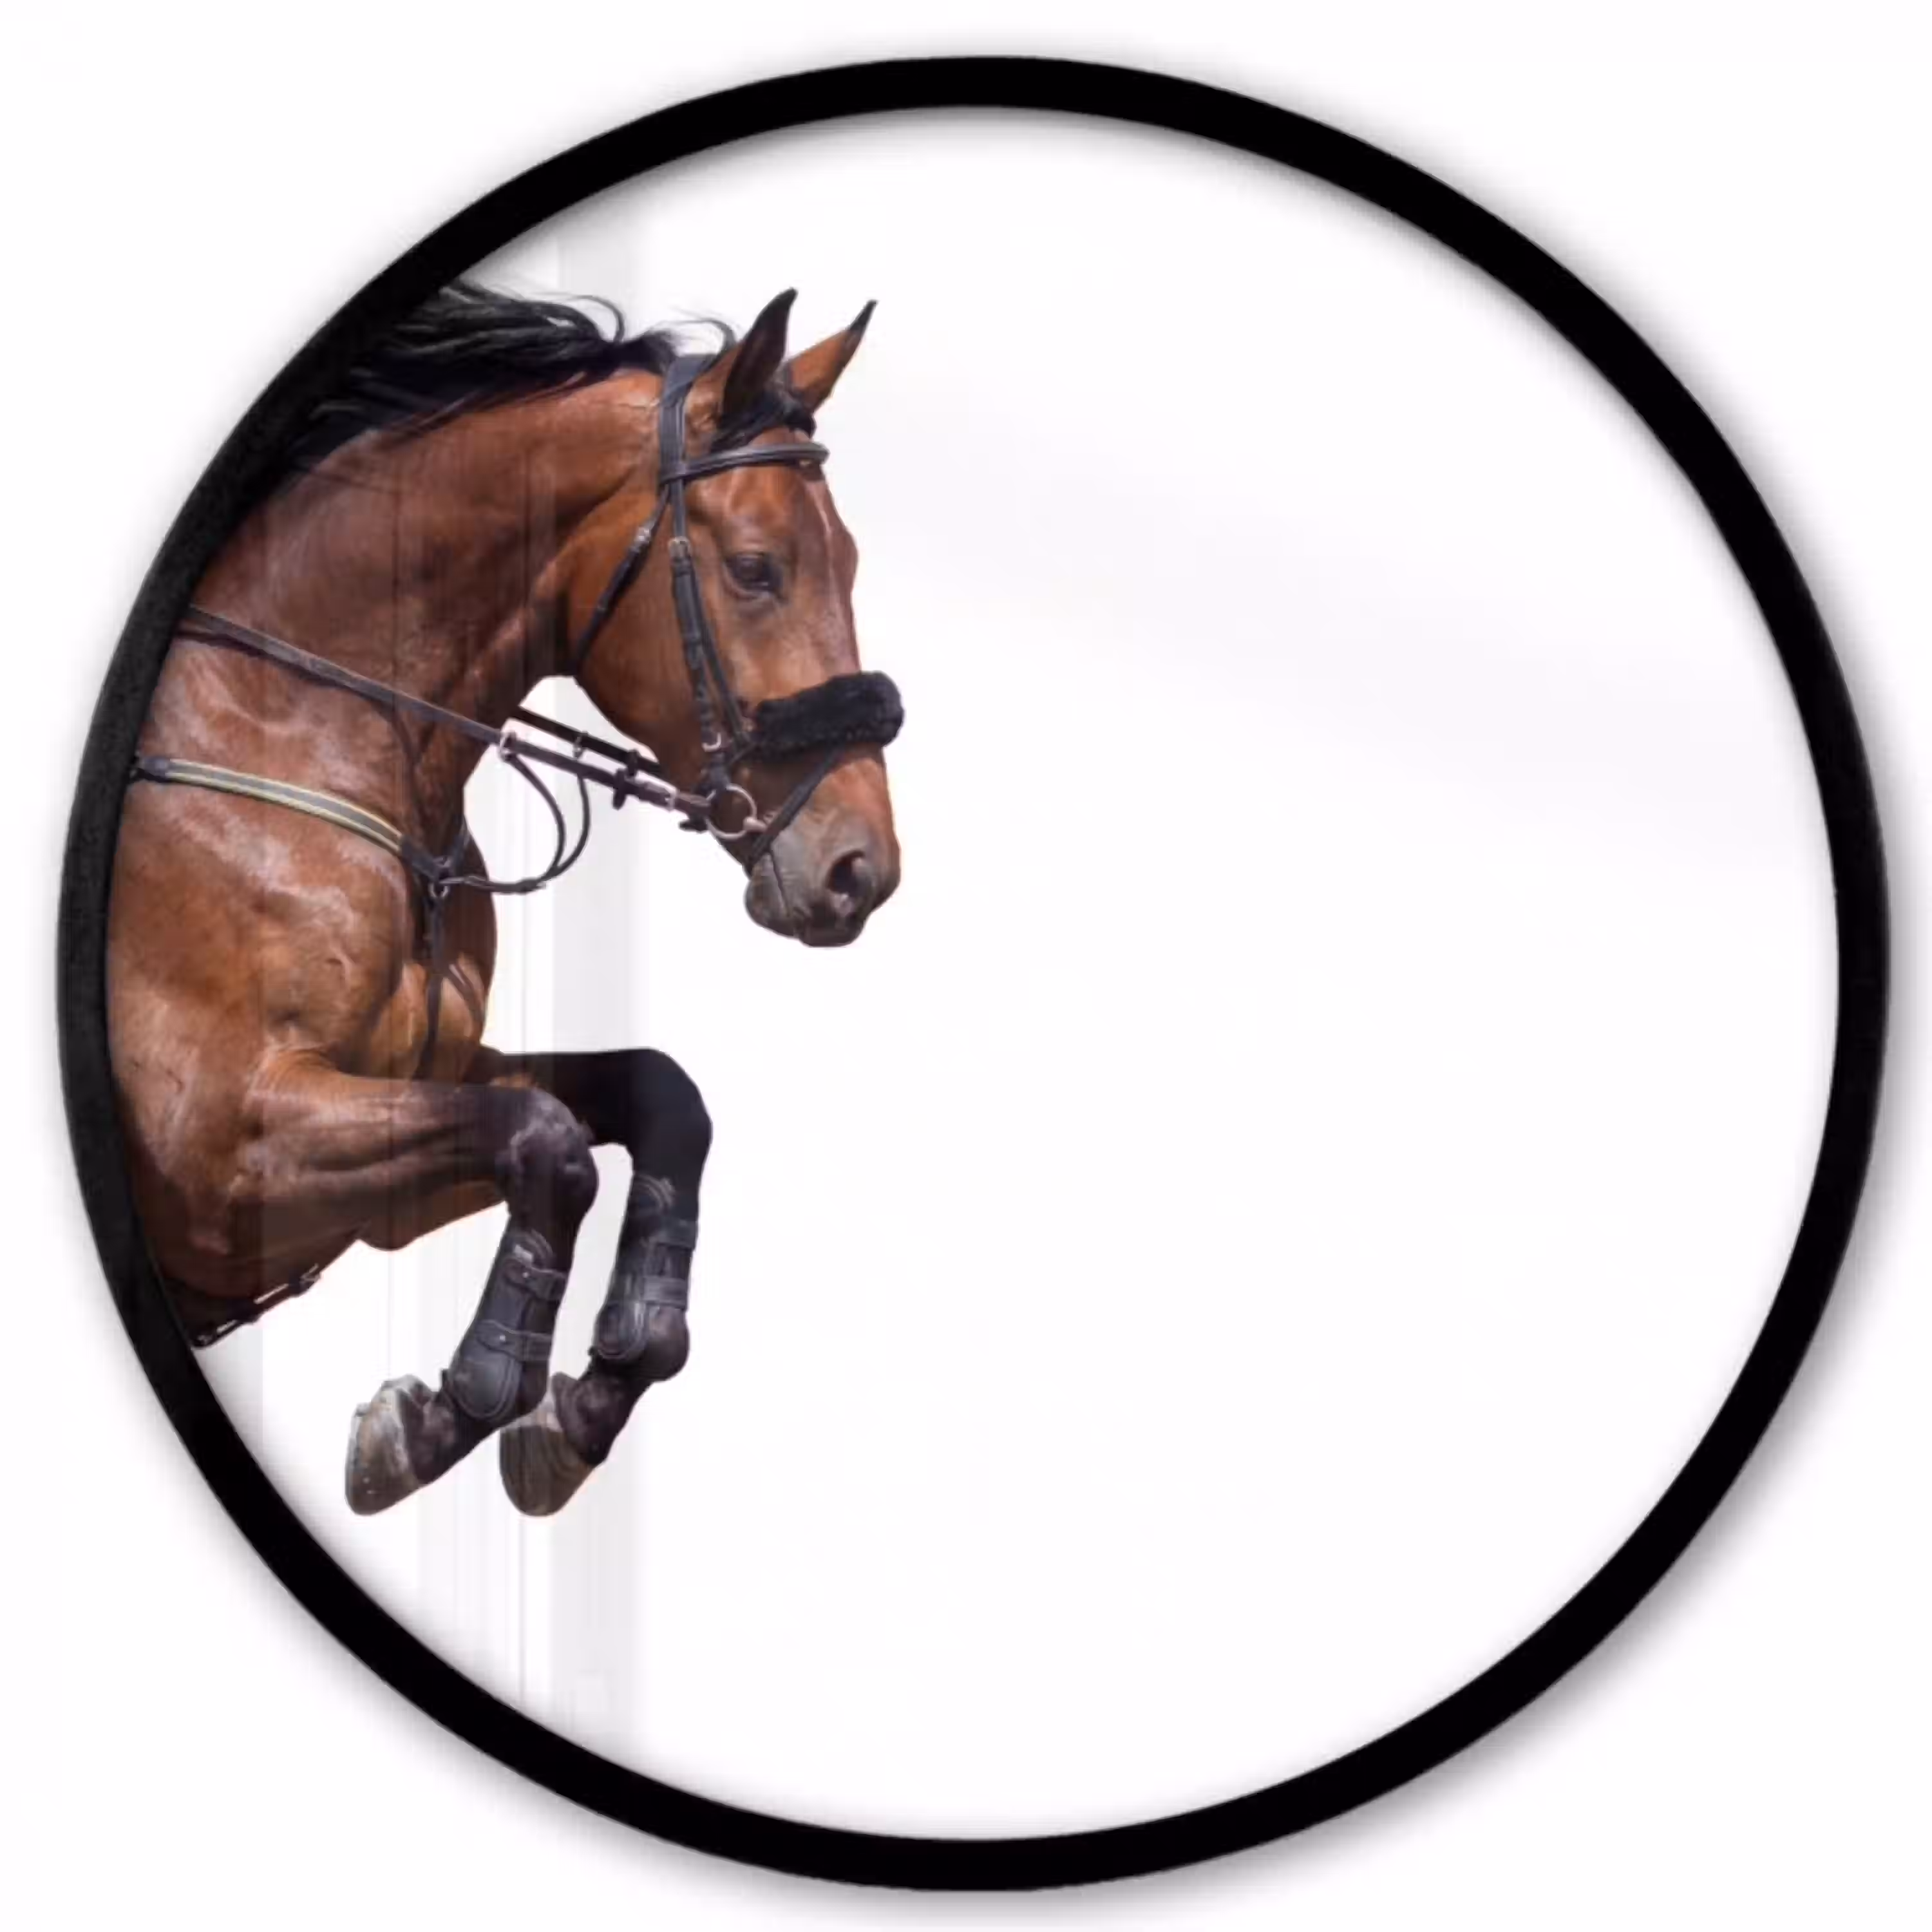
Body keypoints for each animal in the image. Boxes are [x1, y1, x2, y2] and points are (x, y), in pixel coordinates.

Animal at [106, 282, 902, 1518]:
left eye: (852, 561)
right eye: (756, 569)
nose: (860, 868)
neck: (295, 729)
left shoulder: (397, 1120)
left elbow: (653, 1099)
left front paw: (588, 1398)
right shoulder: (223, 1150)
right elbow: (550, 1142)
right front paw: (446, 1414)